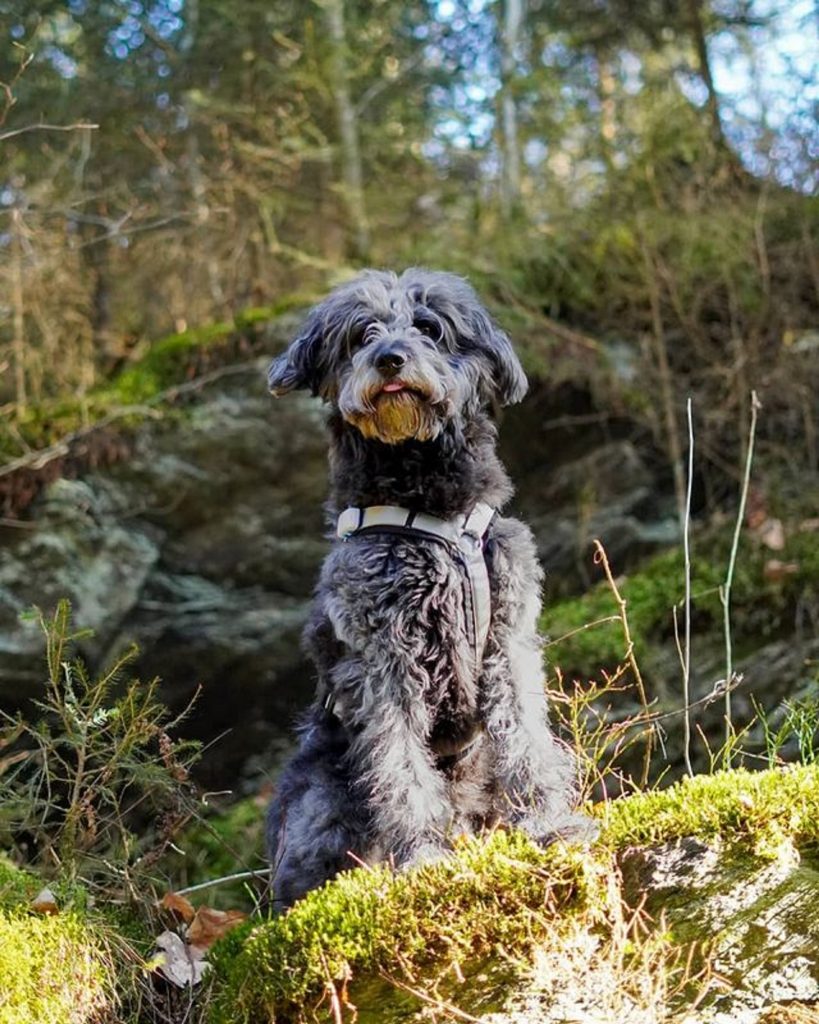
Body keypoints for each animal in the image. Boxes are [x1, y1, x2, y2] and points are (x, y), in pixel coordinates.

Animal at [266, 268, 593, 909]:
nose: (390, 358)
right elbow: (399, 769)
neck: (428, 504)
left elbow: (526, 737)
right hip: (320, 802)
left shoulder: (508, 636)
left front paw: (548, 824)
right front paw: (421, 859)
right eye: (361, 333)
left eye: (429, 327)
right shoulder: (384, 660)